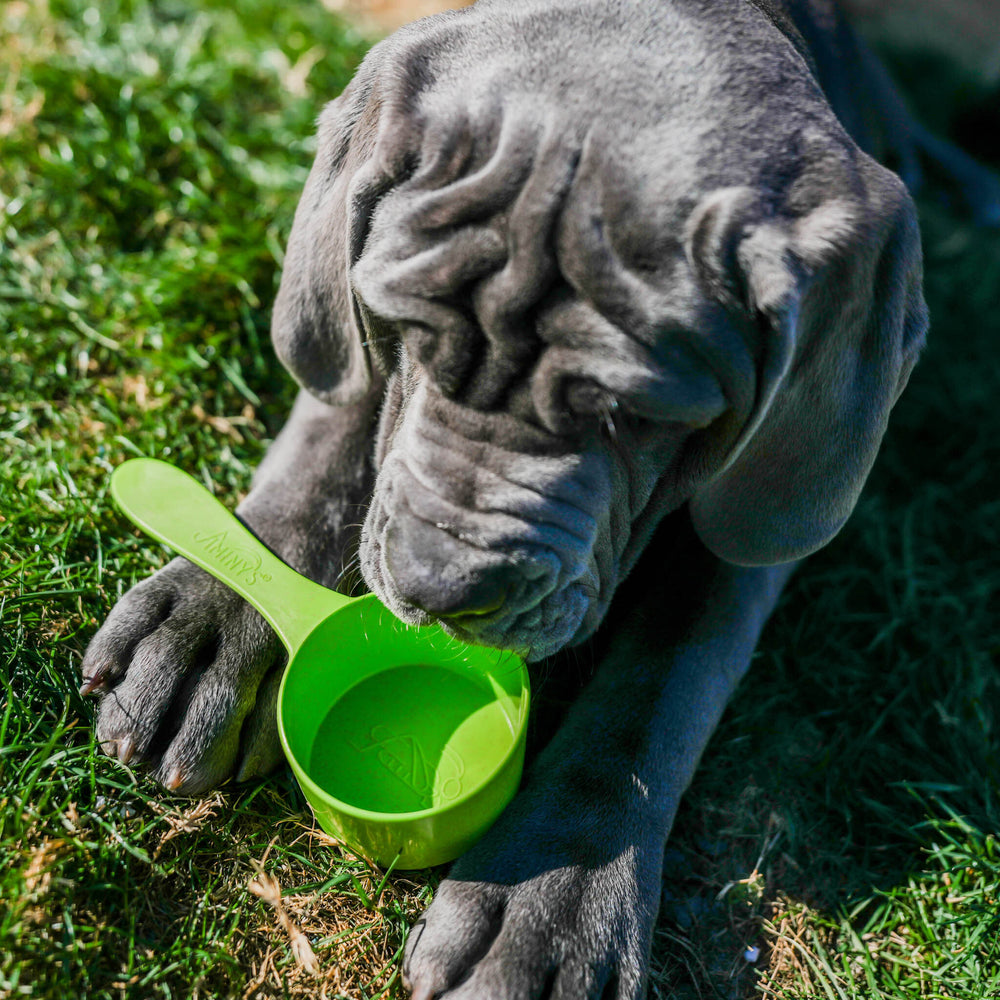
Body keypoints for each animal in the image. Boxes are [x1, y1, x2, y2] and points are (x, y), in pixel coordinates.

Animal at [80, 0, 1000, 996]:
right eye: (402, 326)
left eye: (631, 414)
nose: (438, 588)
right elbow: (332, 424)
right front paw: (213, 616)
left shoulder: (760, 515)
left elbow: (663, 686)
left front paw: (552, 897)